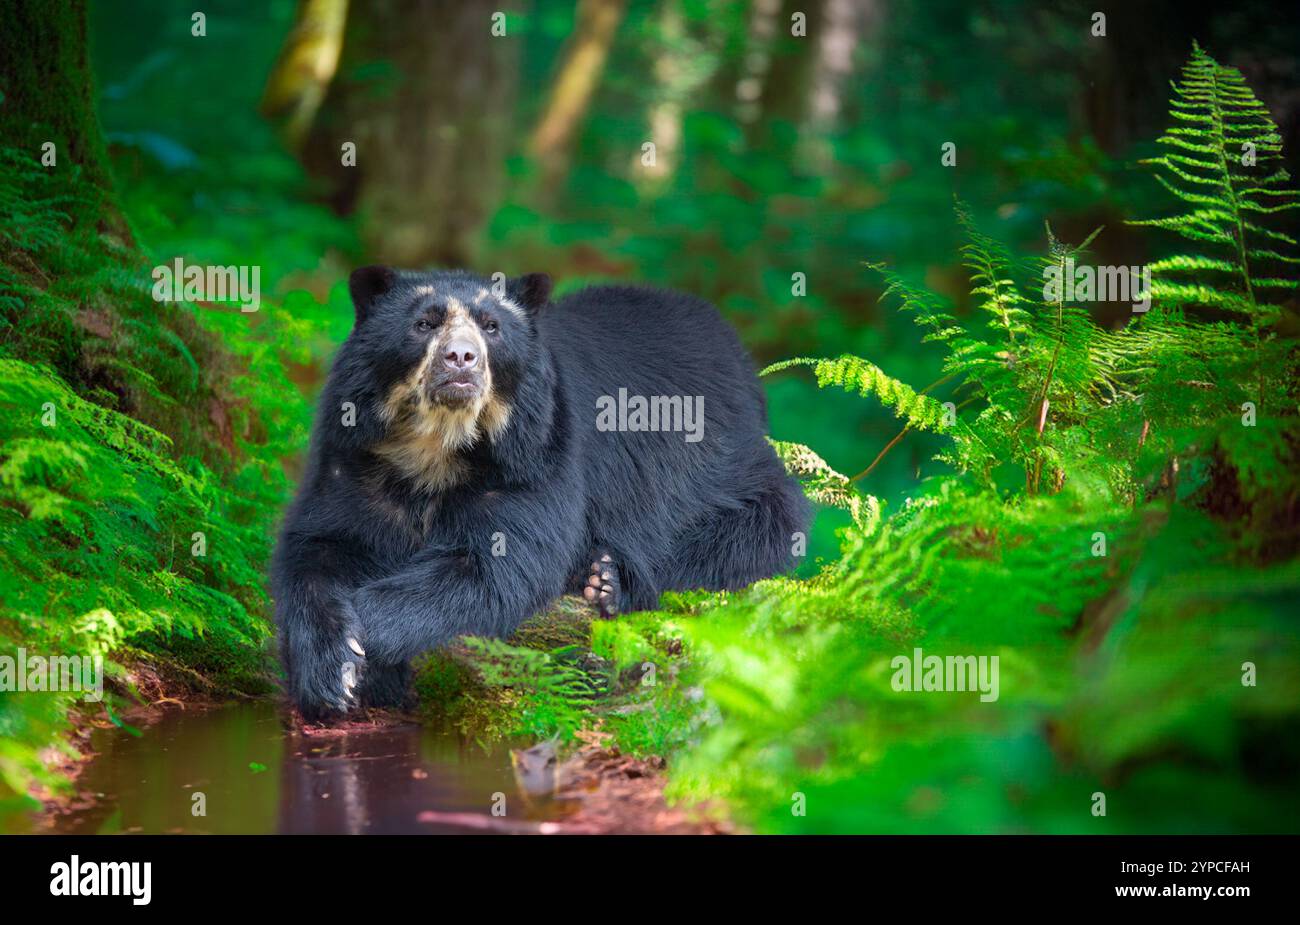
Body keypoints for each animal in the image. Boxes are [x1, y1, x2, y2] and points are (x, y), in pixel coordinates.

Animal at [271, 266, 810, 720]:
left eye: (491, 327)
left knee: (760, 524)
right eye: (423, 323)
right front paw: (328, 666)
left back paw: (607, 581)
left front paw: (363, 657)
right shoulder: (355, 456)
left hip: (717, 461)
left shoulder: (535, 454)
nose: (461, 358)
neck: (438, 447)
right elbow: (321, 544)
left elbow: (498, 566)